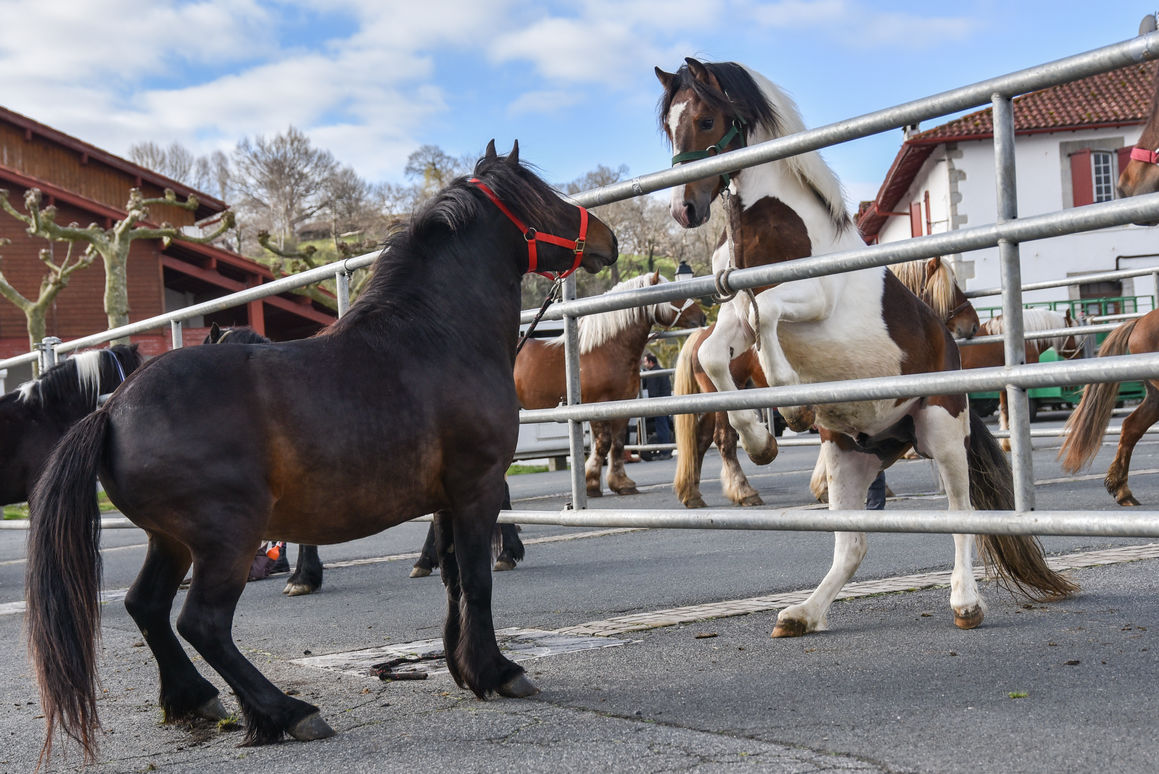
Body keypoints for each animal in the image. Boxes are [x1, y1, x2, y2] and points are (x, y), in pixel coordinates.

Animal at [24, 141, 616, 764]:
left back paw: (196, 699)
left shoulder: (447, 500)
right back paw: (288, 712)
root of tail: (111, 410)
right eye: (544, 199)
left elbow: (453, 580)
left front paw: (465, 668)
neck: (437, 337)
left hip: (172, 542)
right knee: (202, 623)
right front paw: (498, 672)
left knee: (146, 607)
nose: (608, 240)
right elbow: (478, 581)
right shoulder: (477, 489)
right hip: (226, 539)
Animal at [672, 254, 978, 507]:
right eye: (950, 287)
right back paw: (743, 491)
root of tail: (699, 336)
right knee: (725, 440)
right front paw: (826, 487)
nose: (972, 324)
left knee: (701, 440)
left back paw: (693, 493)